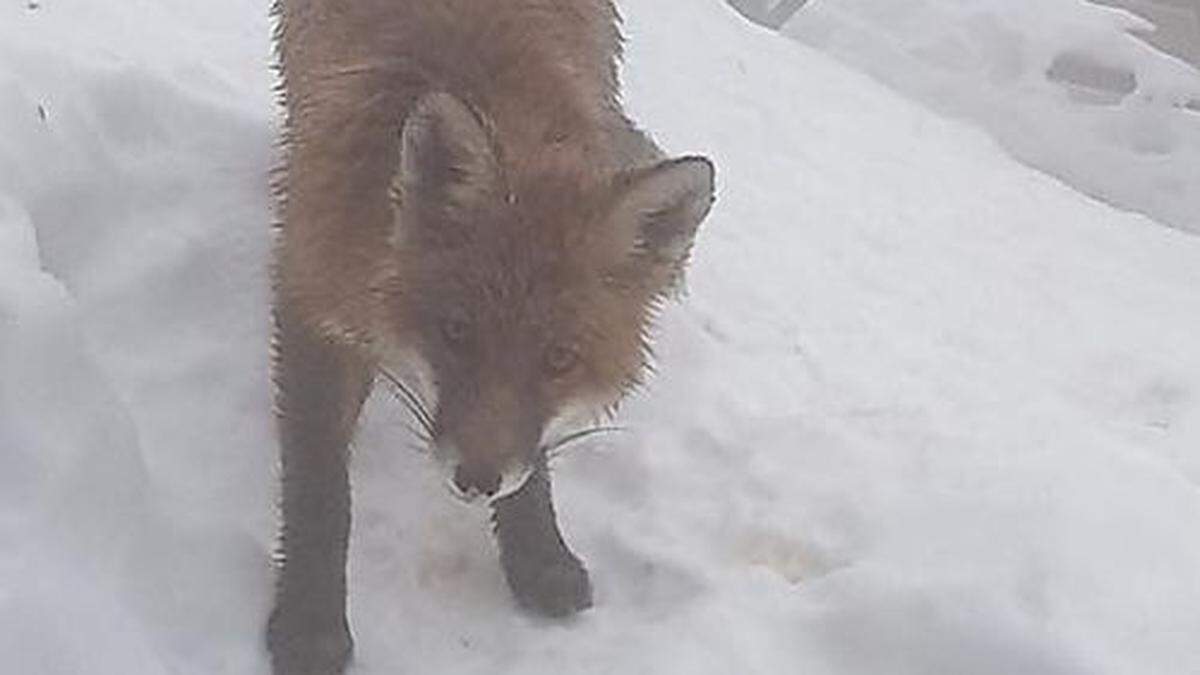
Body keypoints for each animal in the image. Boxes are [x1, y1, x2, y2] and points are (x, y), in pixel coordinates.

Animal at [268, 0, 715, 667]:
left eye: (559, 359)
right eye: (455, 331)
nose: (476, 482)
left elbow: (534, 460)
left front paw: (537, 553)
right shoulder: (311, 289)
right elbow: (321, 484)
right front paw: (310, 621)